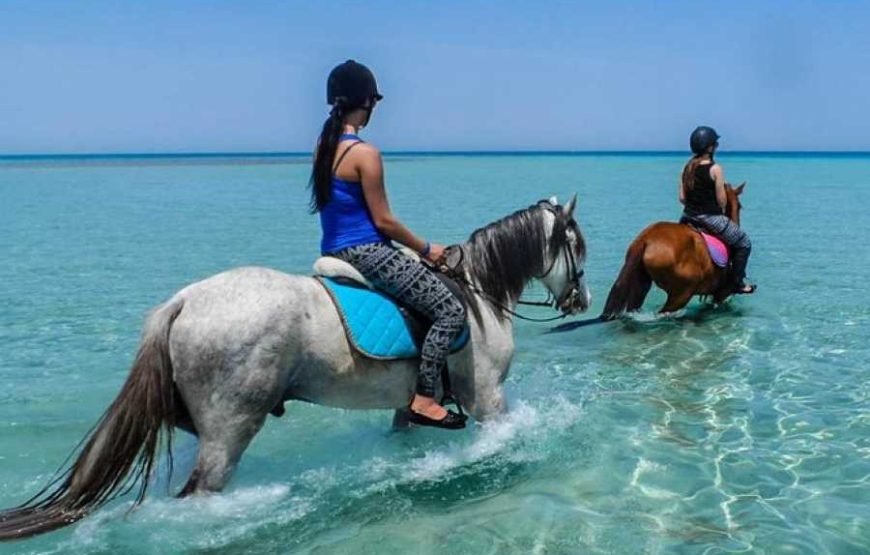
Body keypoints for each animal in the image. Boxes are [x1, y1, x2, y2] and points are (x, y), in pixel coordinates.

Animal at [0, 196, 590, 541]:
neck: (477, 293)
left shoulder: (409, 405)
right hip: (231, 428)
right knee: (201, 493)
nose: (581, 298)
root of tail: (183, 303)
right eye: (577, 246)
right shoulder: (487, 399)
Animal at [601, 183, 746, 319]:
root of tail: (645, 239)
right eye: (739, 206)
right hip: (681, 294)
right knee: (664, 312)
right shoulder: (721, 293)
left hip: (641, 284)